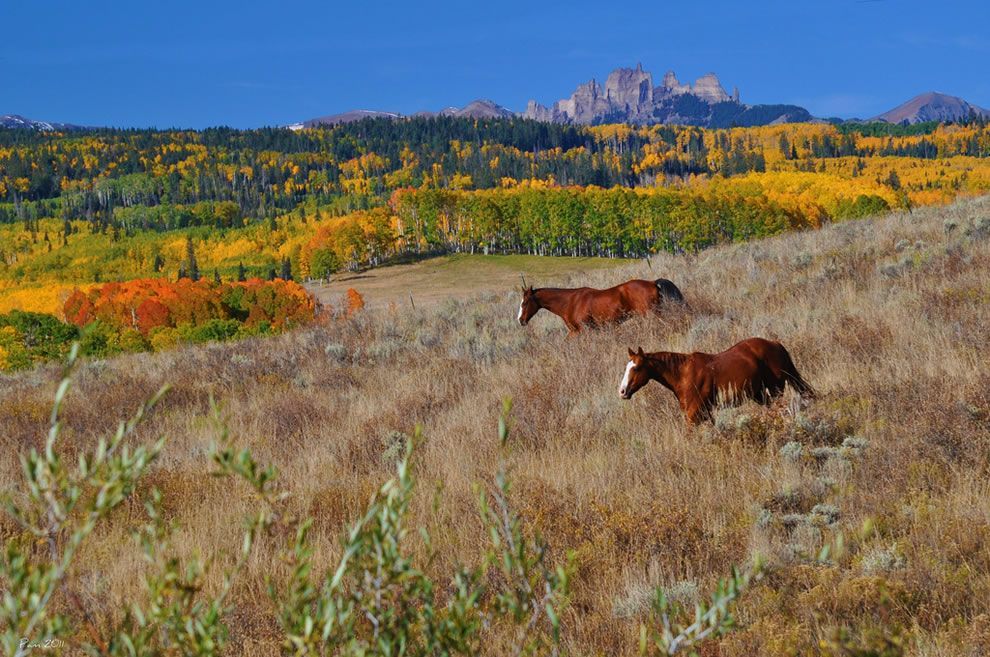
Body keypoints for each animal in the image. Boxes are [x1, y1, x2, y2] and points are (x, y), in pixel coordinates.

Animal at [520, 280, 680, 336]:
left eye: (524, 302)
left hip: (651, 314)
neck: (571, 302)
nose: (520, 320)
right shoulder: (576, 331)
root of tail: (653, 283)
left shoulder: (583, 330)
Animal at [620, 336, 812, 422]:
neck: (683, 374)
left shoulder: (693, 416)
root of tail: (775, 344)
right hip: (760, 395)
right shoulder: (705, 414)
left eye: (636, 368)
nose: (622, 391)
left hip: (775, 390)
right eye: (626, 367)